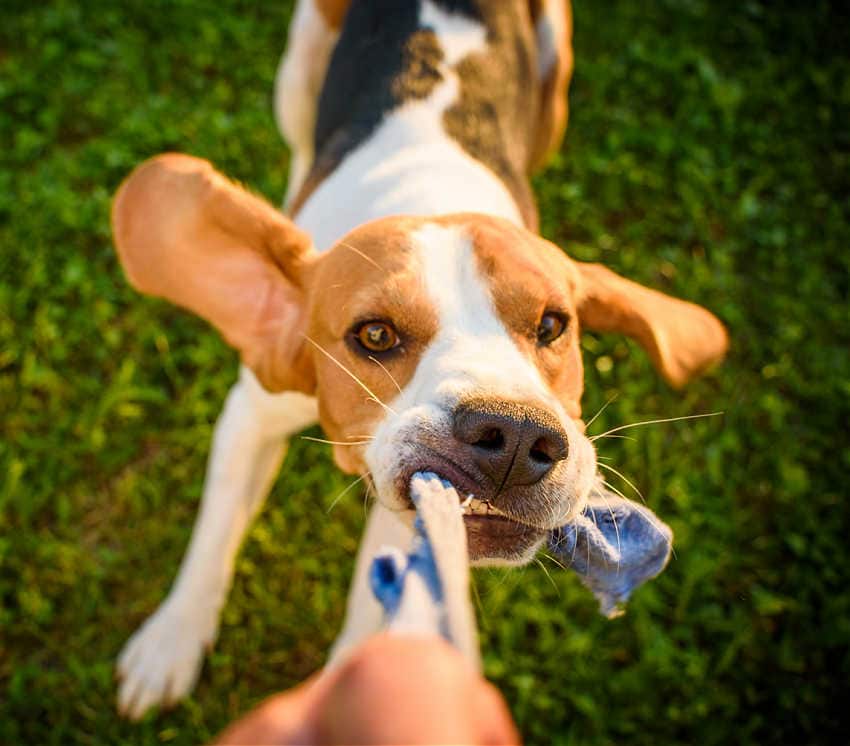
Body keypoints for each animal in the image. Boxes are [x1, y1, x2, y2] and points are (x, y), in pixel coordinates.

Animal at [109, 1, 724, 720]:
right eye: (374, 336)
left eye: (553, 325)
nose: (516, 436)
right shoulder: (252, 414)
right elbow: (214, 533)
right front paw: (169, 644)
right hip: (299, 61)